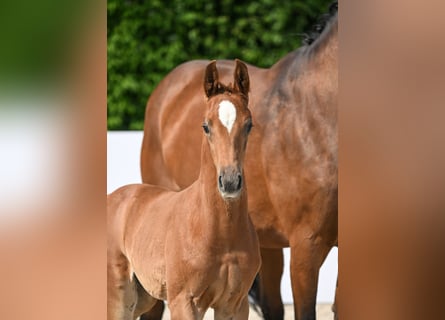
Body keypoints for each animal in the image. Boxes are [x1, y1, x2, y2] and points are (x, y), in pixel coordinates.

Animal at [107, 59, 260, 318]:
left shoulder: (235, 304)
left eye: (248, 125)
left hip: (142, 298)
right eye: (206, 126)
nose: (230, 181)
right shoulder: (183, 301)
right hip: (118, 298)